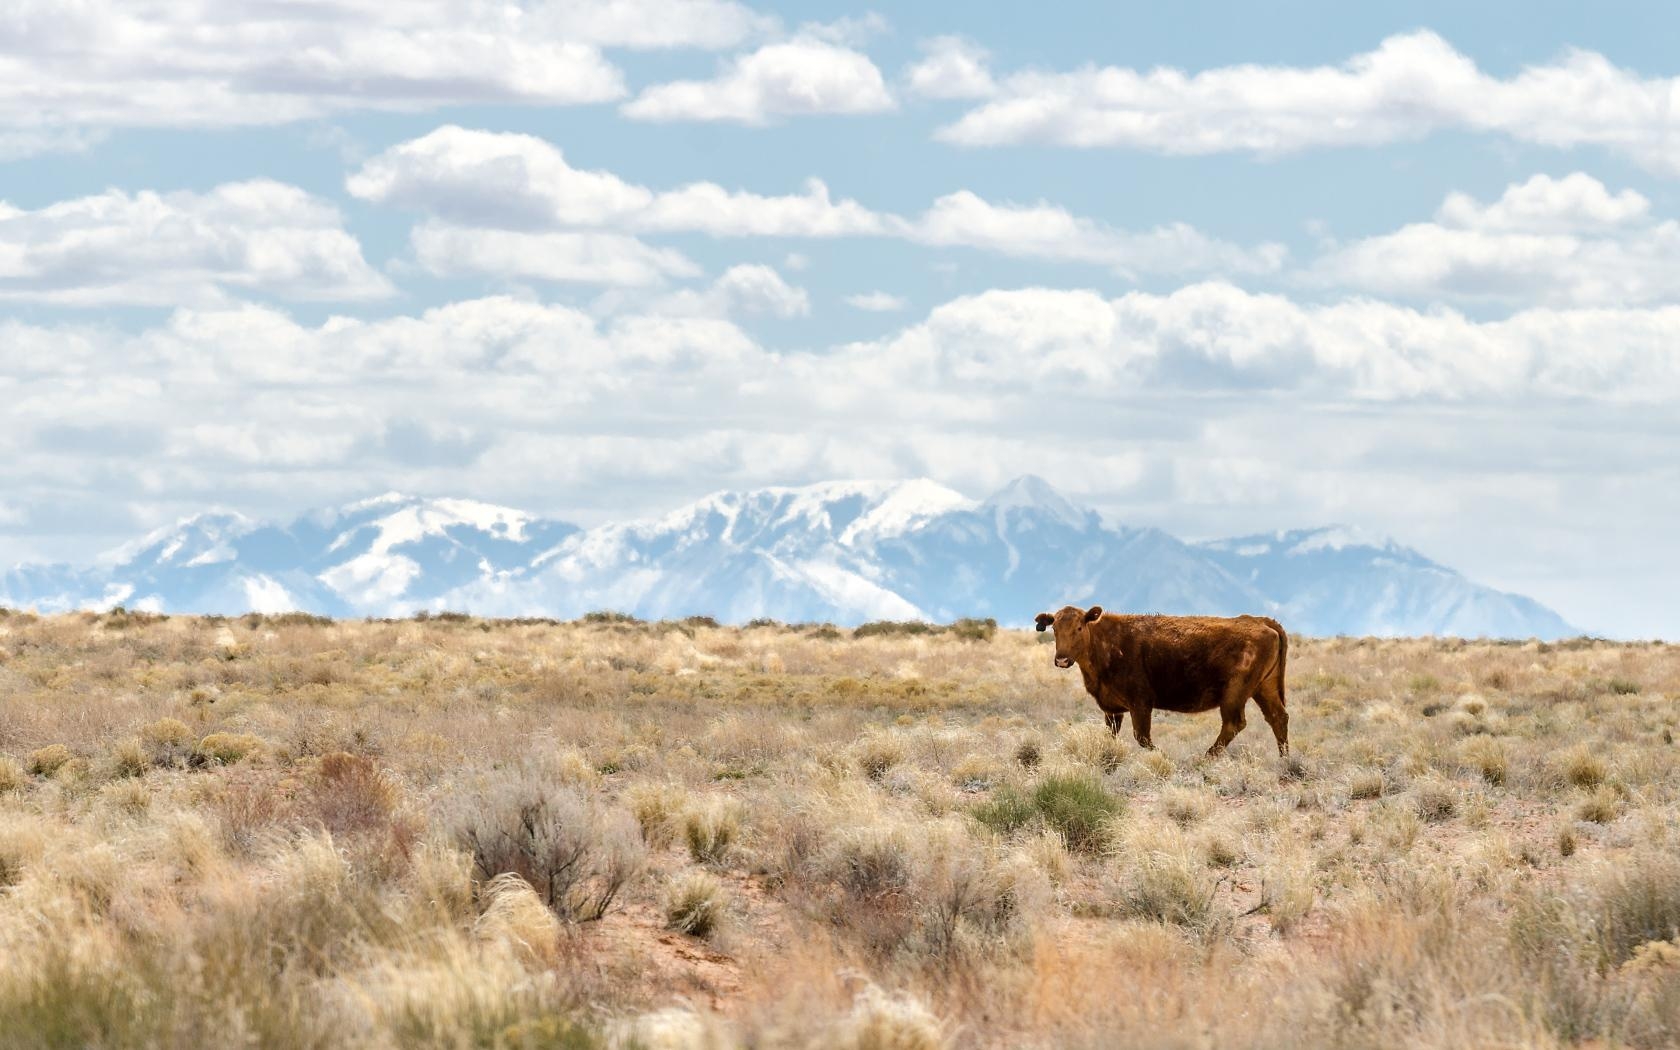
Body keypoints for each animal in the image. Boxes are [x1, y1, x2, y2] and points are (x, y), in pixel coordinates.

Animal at [1028, 604, 1290, 752]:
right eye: (1054, 629)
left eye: (1079, 628)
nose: (1062, 659)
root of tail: (1261, 621)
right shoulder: (1112, 710)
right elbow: (1112, 736)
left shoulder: (1141, 704)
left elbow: (1143, 738)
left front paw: (1161, 755)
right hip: (1264, 688)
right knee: (1278, 717)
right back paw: (1284, 760)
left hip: (1235, 694)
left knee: (1234, 723)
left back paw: (1205, 758)